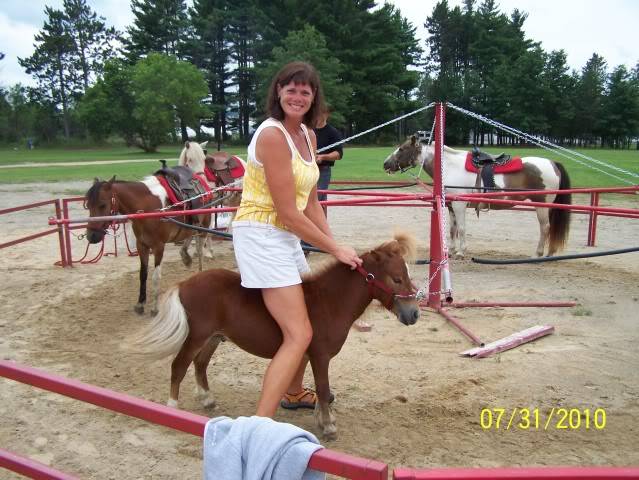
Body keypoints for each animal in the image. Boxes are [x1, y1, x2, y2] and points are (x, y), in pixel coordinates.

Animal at [84, 176, 210, 316]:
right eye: (88, 205)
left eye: (102, 205)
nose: (91, 236)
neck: (147, 209)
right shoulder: (142, 246)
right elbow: (143, 274)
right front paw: (140, 303)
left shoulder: (158, 247)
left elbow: (155, 277)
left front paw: (155, 308)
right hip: (191, 227)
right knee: (189, 236)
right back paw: (185, 256)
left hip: (203, 228)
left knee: (200, 251)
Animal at [135, 232, 420, 438]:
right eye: (396, 279)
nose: (414, 313)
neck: (329, 301)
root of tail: (184, 283)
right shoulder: (320, 355)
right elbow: (324, 388)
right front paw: (328, 426)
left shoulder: (310, 354)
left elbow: (321, 391)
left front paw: (321, 418)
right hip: (196, 336)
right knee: (179, 366)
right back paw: (172, 410)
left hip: (213, 337)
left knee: (200, 364)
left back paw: (207, 399)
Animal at [382, 137, 572, 258]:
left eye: (402, 149)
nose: (385, 164)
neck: (449, 167)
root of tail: (553, 163)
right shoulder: (451, 206)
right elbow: (453, 229)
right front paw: (451, 250)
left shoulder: (459, 206)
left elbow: (462, 228)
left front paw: (461, 252)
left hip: (542, 205)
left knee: (545, 228)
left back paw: (538, 254)